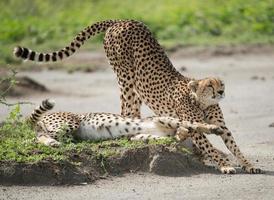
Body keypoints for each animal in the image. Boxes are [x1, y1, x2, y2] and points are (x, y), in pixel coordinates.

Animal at [14, 19, 262, 173]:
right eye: (210, 85)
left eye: (222, 83)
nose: (221, 92)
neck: (202, 103)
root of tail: (121, 20)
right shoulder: (194, 125)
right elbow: (208, 144)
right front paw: (224, 164)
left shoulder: (222, 126)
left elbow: (234, 145)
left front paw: (248, 164)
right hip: (127, 80)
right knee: (127, 112)